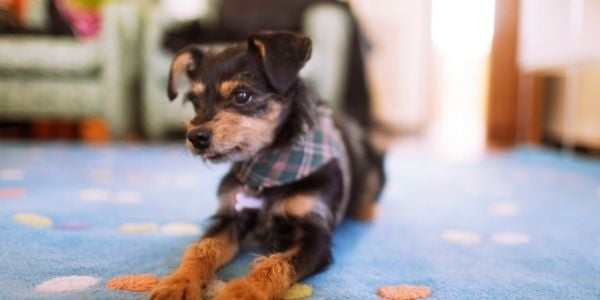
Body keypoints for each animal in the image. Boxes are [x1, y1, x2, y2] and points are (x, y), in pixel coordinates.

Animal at [149, 31, 384, 300]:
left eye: (242, 96)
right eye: (194, 101)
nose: (195, 137)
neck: (268, 169)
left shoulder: (315, 236)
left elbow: (277, 264)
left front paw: (243, 291)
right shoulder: (230, 218)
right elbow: (201, 249)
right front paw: (178, 283)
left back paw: (367, 211)